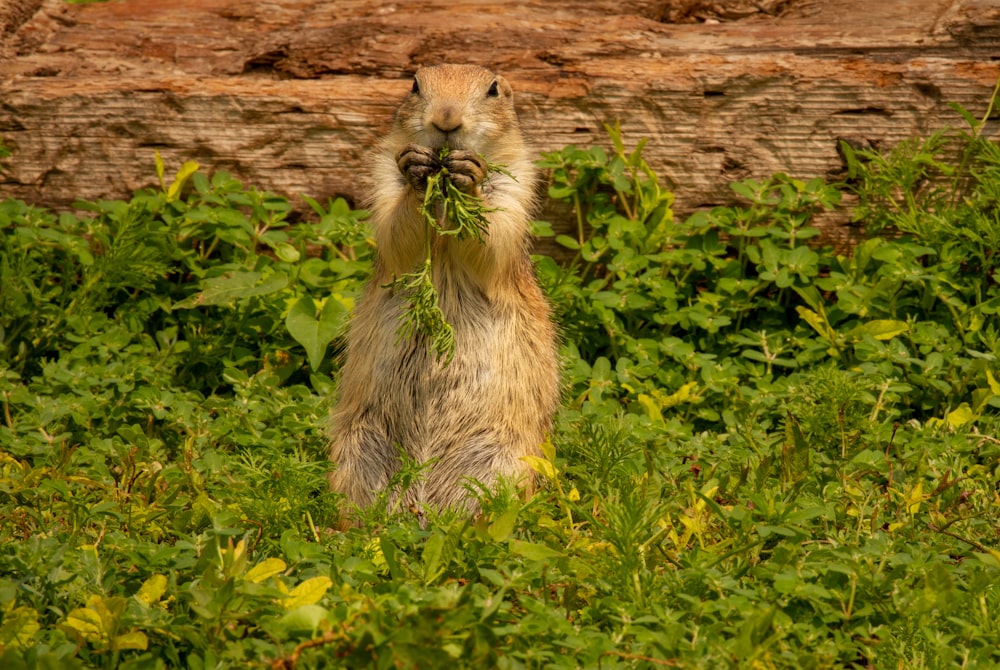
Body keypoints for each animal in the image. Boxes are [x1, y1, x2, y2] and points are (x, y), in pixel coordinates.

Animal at [328, 63, 564, 524]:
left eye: (493, 90)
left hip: (503, 460)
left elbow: (493, 239)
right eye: (415, 84)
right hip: (355, 448)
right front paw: (416, 170)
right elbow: (395, 231)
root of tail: (422, 503)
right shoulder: (382, 175)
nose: (446, 119)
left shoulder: (517, 184)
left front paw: (469, 181)